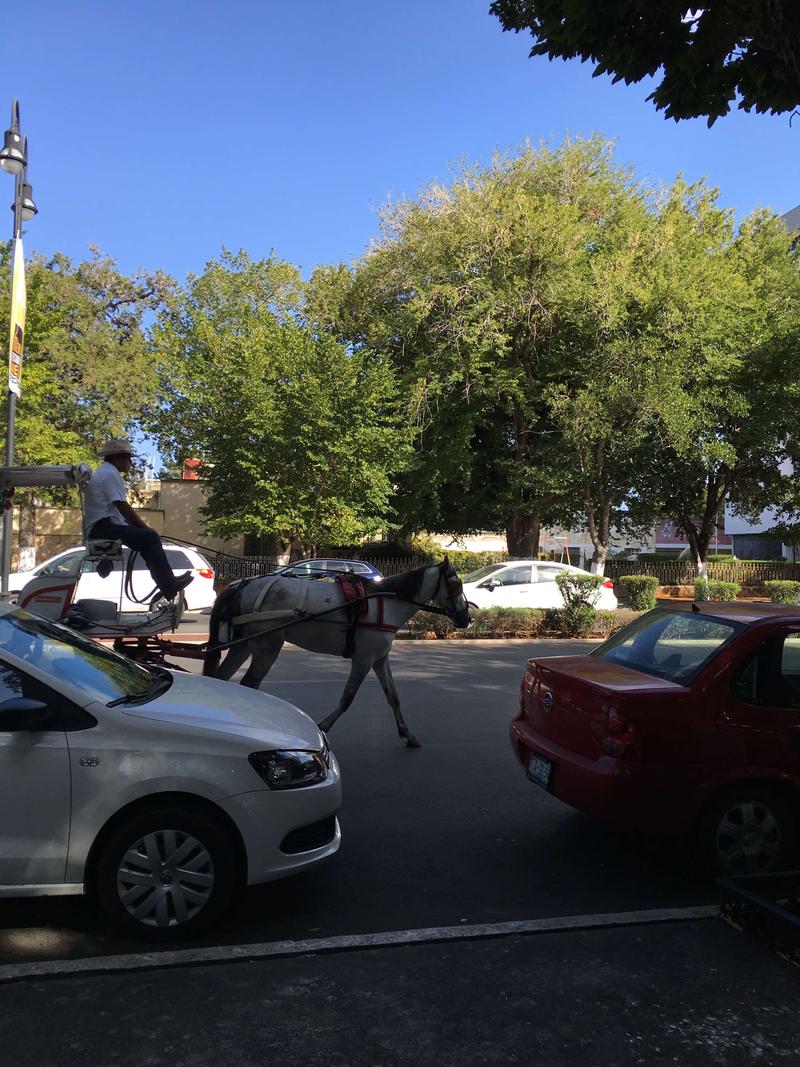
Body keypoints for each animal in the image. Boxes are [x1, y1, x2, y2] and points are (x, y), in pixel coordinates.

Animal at [203, 563, 473, 746]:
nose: (466, 618)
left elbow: (393, 697)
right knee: (249, 684)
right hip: (267, 647)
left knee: (222, 679)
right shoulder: (363, 660)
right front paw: (323, 727)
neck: (386, 603)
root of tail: (242, 585)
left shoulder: (379, 659)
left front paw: (407, 734)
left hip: (243, 645)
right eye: (456, 585)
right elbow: (347, 699)